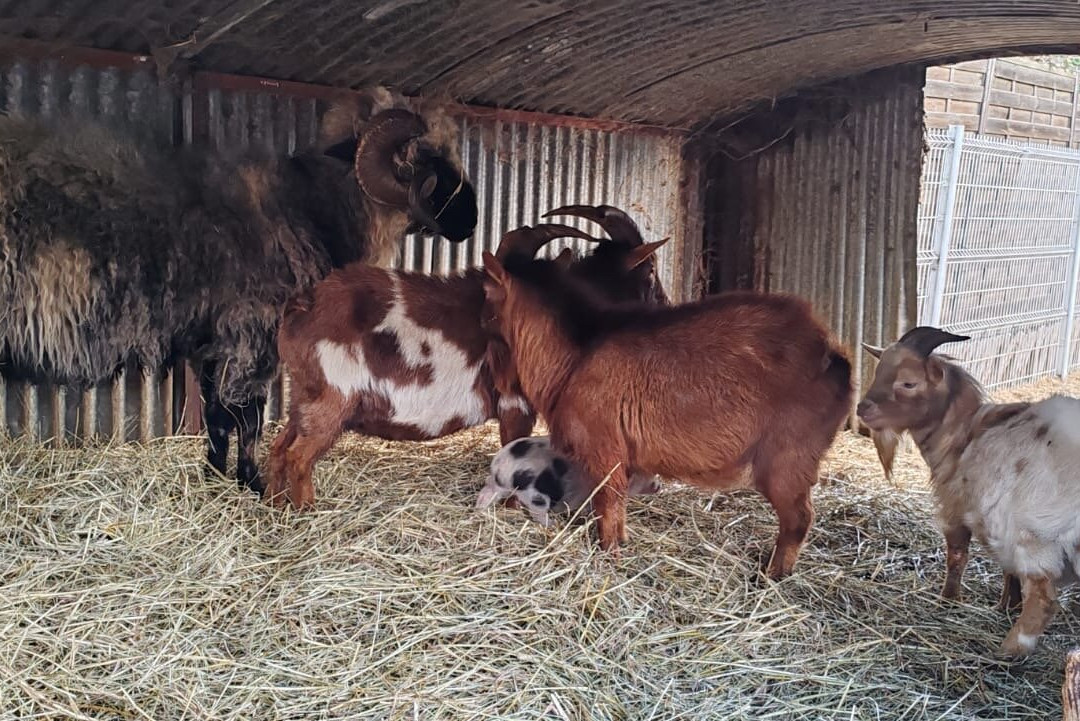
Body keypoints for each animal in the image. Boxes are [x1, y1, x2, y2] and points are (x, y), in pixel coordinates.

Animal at [0, 87, 477, 493]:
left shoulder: (214, 342)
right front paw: (253, 483)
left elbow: (216, 417)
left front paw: (214, 478)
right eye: (430, 160)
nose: (471, 221)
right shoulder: (252, 334)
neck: (315, 210)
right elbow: (249, 418)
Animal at [265, 207, 670, 510]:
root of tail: (302, 305)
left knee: (279, 447)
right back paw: (306, 512)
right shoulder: (515, 402)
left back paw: (274, 506)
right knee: (298, 456)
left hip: (304, 397)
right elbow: (513, 446)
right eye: (650, 269)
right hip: (331, 400)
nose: (667, 304)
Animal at [476, 435, 662, 527]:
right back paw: (553, 525)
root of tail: (502, 468)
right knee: (537, 512)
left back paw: (480, 510)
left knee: (486, 493)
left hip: (496, 486)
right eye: (644, 474)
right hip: (536, 495)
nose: (659, 486)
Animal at [856, 325, 1080, 657]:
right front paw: (1006, 606)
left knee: (1044, 599)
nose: (862, 409)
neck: (964, 434)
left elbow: (957, 558)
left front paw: (948, 600)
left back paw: (1008, 650)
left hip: (1039, 536)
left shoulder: (956, 511)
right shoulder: (999, 525)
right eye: (878, 372)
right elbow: (1008, 571)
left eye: (908, 382)